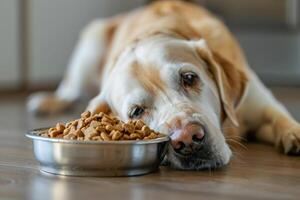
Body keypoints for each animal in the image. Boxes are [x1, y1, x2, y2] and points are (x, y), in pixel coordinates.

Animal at [26, 0, 300, 170]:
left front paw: (294, 132)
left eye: (189, 78)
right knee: (68, 90)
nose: (188, 139)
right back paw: (44, 101)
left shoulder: (260, 104)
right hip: (90, 44)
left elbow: (279, 116)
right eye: (136, 112)